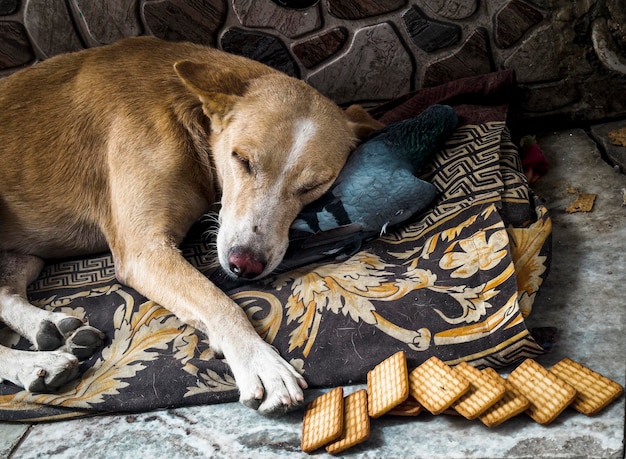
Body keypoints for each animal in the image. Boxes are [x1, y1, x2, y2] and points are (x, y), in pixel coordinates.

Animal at [0, 37, 380, 416]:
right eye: (242, 159)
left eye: (313, 186)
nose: (245, 265)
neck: (185, 115)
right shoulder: (144, 251)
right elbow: (220, 302)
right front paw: (261, 363)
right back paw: (37, 364)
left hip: (26, 258)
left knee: (6, 294)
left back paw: (51, 329)